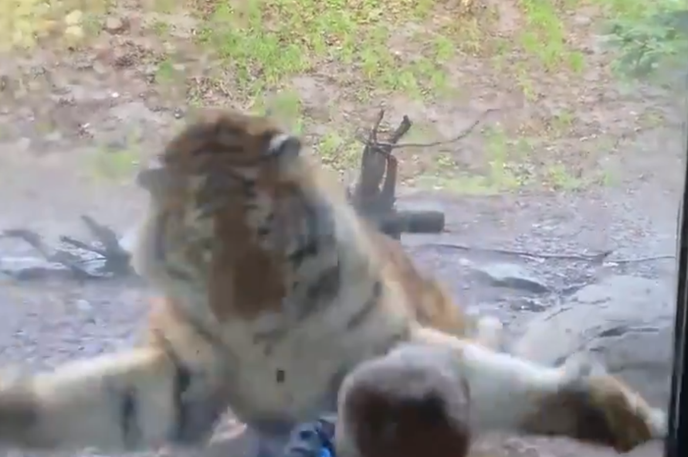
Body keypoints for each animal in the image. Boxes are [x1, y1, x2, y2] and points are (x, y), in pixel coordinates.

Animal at [0, 108, 666, 456]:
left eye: (266, 232)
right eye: (205, 245)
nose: (251, 312)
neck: (265, 344)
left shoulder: (386, 344)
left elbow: (494, 378)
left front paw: (615, 409)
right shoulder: (180, 372)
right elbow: (96, 397)